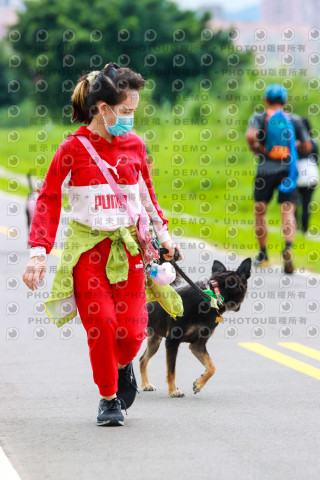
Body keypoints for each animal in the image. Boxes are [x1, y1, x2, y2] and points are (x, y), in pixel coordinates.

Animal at [139, 258, 251, 398]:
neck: (211, 297)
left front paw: (199, 384)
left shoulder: (197, 345)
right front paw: (173, 391)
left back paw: (146, 384)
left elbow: (212, 367)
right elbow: (171, 371)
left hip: (154, 341)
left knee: (142, 360)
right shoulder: (172, 342)